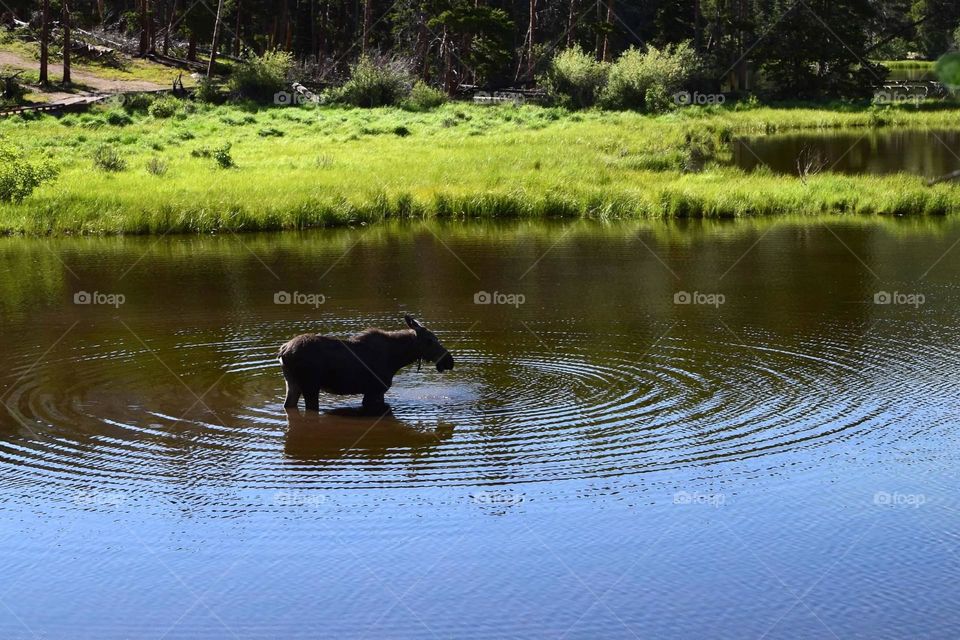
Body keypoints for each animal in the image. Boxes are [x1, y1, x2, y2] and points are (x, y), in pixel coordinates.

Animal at [280, 314, 456, 412]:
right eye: (429, 340)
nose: (450, 361)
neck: (397, 359)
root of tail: (283, 351)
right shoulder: (375, 391)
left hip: (292, 383)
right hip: (310, 386)